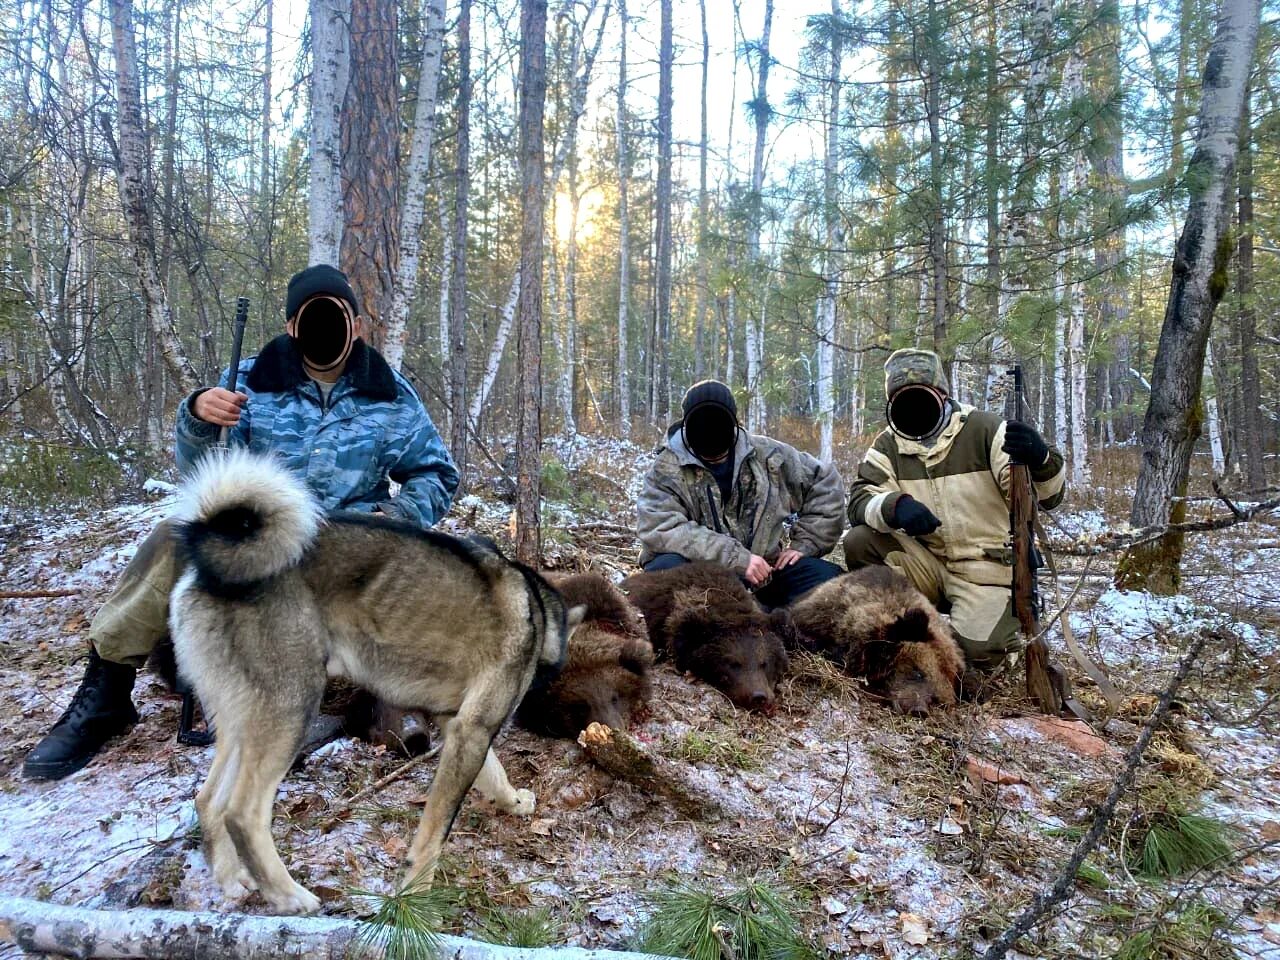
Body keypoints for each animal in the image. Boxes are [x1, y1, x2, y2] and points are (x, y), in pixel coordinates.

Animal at [168, 450, 581, 916]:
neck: (537, 612)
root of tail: (208, 564)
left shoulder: (456, 724)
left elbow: (494, 775)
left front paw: (513, 802)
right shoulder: (472, 731)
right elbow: (437, 827)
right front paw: (416, 892)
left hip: (241, 721)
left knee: (207, 800)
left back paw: (231, 879)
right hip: (290, 711)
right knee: (241, 813)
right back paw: (289, 895)